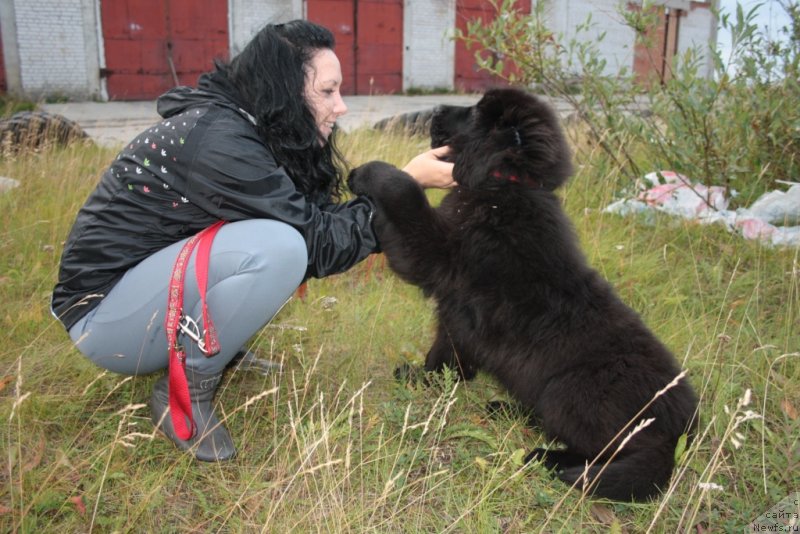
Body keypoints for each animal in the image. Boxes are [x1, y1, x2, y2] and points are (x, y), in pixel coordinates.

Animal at [346, 88, 696, 502]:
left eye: (475, 113)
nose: (436, 109)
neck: (503, 186)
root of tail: (676, 438)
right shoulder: (454, 310)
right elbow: (445, 352)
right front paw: (427, 378)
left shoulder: (435, 252)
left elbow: (404, 191)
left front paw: (366, 171)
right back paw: (506, 410)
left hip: (568, 391)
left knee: (599, 451)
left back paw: (547, 458)